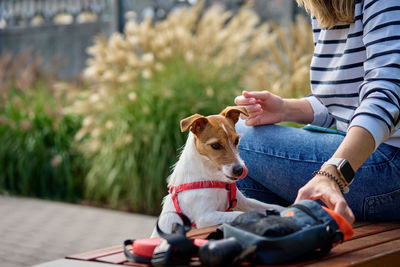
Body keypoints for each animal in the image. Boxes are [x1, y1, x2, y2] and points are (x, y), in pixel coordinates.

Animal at [151, 105, 284, 238]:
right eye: (215, 145)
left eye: (236, 140)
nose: (240, 170)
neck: (212, 177)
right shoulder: (205, 217)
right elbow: (238, 214)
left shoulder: (244, 202)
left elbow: (273, 207)